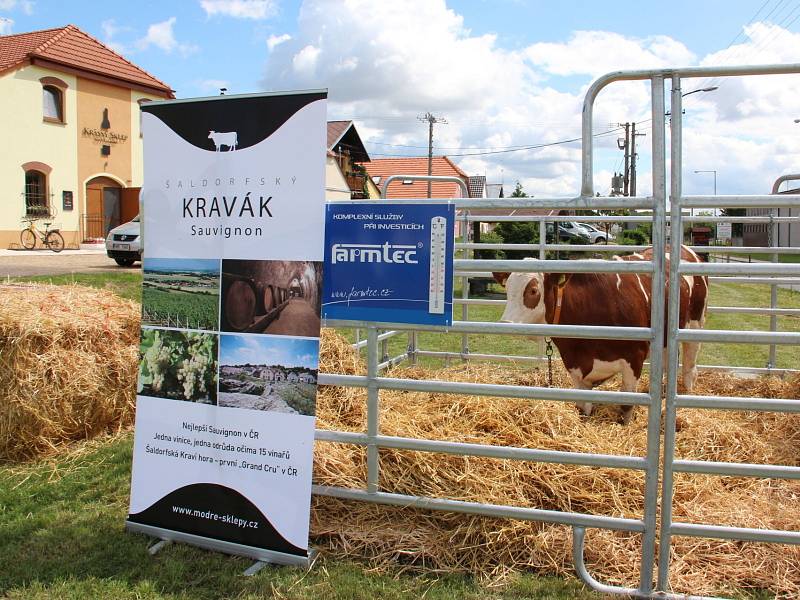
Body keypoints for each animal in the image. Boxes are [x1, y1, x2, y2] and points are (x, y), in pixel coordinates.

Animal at [494, 246, 708, 424]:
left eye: (533, 290)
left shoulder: (634, 357)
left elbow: (626, 405)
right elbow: (582, 408)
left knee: (690, 369)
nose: (505, 323)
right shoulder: (575, 364)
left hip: (695, 325)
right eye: (507, 290)